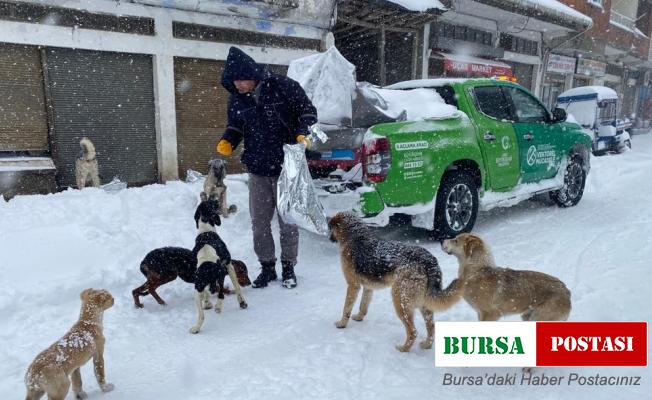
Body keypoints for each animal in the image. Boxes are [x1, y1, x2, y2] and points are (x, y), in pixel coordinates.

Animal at [191, 200, 250, 334]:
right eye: (212, 203)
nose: (217, 200)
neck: (205, 229)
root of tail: (208, 267)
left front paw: (207, 302)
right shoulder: (229, 265)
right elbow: (237, 287)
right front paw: (242, 302)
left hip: (197, 289)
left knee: (201, 315)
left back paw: (196, 328)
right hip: (221, 274)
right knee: (221, 294)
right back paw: (218, 306)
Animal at [328, 211, 460, 352]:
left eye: (330, 228)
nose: (329, 238)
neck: (354, 236)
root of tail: (429, 260)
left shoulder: (353, 286)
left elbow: (346, 308)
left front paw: (342, 324)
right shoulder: (368, 287)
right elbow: (363, 306)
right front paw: (359, 317)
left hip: (400, 300)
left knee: (413, 331)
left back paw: (403, 349)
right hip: (423, 303)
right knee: (431, 327)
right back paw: (426, 345)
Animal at [440, 234, 572, 322]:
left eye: (456, 240)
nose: (441, 240)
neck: (477, 270)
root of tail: (566, 291)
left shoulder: (490, 314)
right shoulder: (481, 314)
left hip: (540, 318)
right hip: (527, 316)